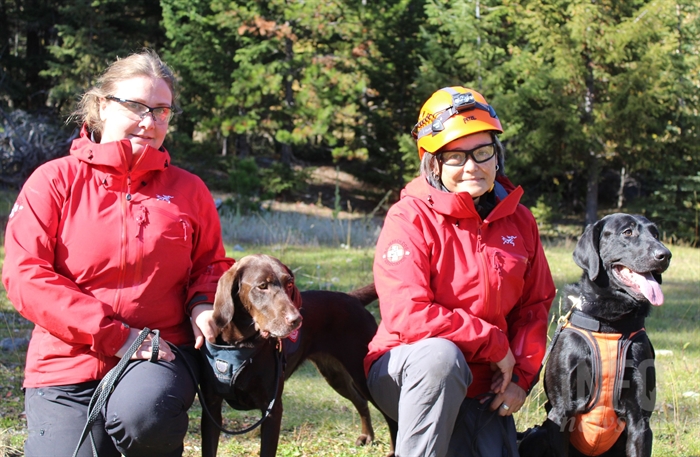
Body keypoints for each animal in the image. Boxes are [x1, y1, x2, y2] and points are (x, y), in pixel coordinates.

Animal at [200, 253, 396, 456]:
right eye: (262, 286)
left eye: (289, 284)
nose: (296, 320)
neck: (241, 344)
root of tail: (353, 298)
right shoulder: (211, 408)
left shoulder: (272, 410)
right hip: (335, 375)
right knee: (361, 400)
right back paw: (367, 436)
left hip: (363, 372)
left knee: (391, 414)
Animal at [520, 214, 672, 456]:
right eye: (627, 232)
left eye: (656, 234)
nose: (665, 255)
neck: (610, 325)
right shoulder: (560, 412)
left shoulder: (640, 421)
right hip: (536, 435)